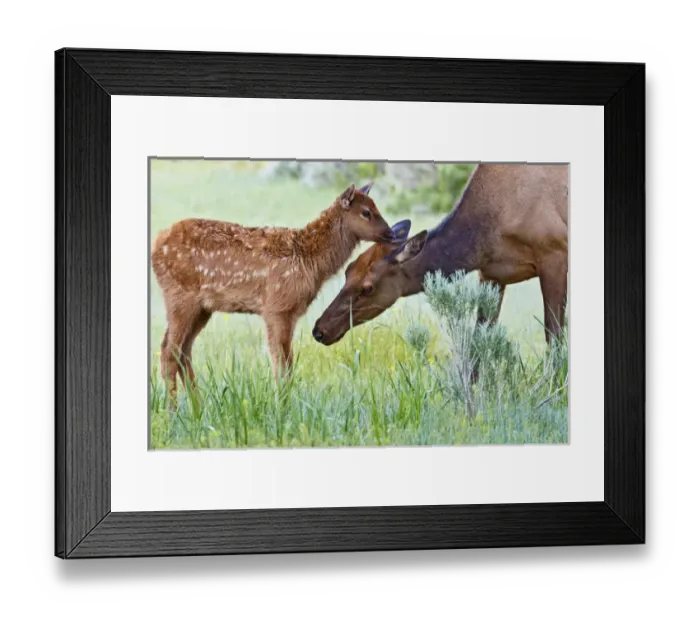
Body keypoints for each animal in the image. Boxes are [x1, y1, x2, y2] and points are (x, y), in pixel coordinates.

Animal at [151, 182, 394, 399]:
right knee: (169, 351)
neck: (309, 259)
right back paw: (173, 413)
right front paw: (282, 407)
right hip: (180, 295)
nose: (391, 233)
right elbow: (282, 363)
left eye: (376, 207)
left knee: (182, 350)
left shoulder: (287, 312)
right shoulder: (278, 307)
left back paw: (197, 409)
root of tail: (156, 246)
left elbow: (285, 362)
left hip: (202, 307)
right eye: (366, 212)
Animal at [312, 164, 568, 352]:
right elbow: (479, 341)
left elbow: (554, 336)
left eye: (368, 288)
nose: (319, 330)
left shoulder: (554, 253)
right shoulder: (492, 274)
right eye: (348, 270)